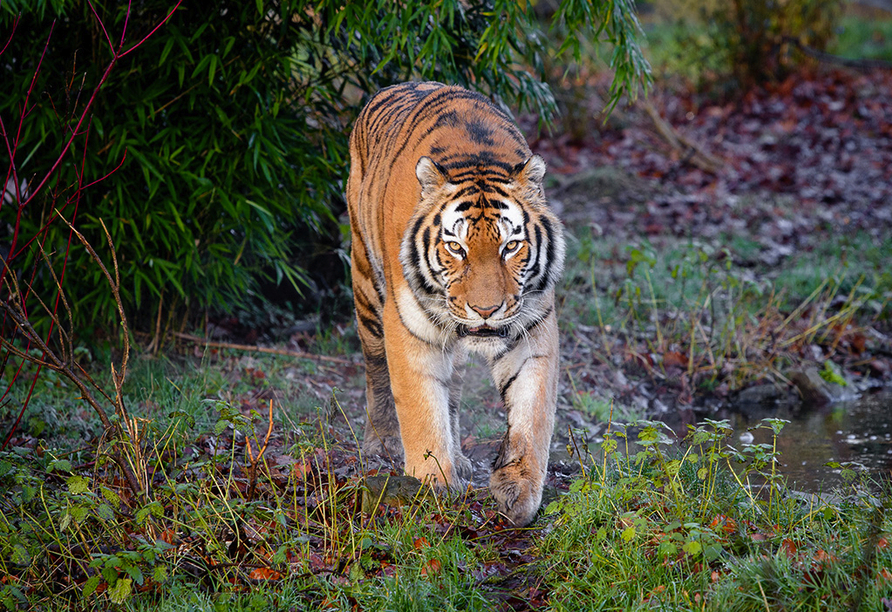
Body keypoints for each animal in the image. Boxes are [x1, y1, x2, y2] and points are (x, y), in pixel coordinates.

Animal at [346, 81, 564, 524]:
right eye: (456, 248)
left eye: (510, 246)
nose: (485, 310)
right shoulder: (407, 326)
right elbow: (419, 406)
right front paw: (433, 484)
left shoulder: (533, 328)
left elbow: (532, 412)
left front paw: (519, 488)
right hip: (366, 287)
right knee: (375, 369)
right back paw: (383, 442)